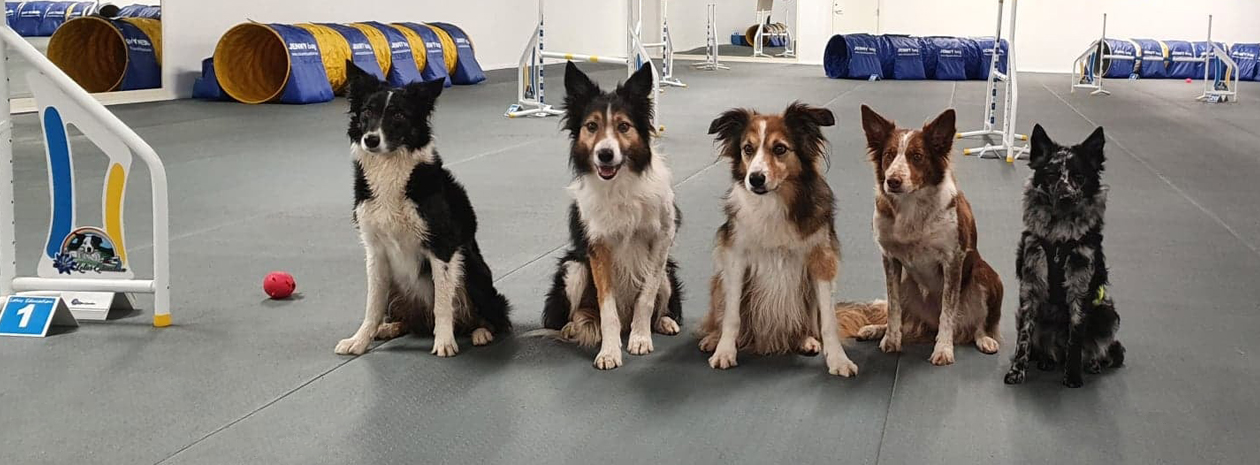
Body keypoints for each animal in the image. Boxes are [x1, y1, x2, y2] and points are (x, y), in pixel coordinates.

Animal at [337, 61, 514, 357]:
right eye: (367, 112)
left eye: (398, 114)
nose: (370, 140)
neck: (389, 169)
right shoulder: (375, 251)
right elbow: (372, 304)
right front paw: (359, 340)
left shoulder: (442, 246)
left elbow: (442, 302)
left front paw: (444, 342)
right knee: (406, 320)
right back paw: (389, 328)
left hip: (472, 269)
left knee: (490, 317)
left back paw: (481, 332)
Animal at [695, 102, 861, 378]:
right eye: (747, 149)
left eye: (780, 148)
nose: (755, 179)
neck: (773, 201)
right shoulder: (735, 258)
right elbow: (731, 316)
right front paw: (724, 352)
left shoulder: (822, 260)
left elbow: (828, 322)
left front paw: (839, 361)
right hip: (718, 282)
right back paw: (712, 339)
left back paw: (806, 339)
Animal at [841, 105, 1008, 365]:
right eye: (889, 155)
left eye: (917, 156)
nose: (892, 181)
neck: (912, 206)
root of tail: (927, 325)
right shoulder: (890, 259)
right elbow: (893, 307)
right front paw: (890, 340)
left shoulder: (952, 261)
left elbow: (948, 312)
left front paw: (943, 350)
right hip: (906, 282)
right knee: (905, 319)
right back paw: (875, 329)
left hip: (986, 275)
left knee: (977, 326)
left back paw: (984, 340)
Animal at [1002, 124, 1123, 388]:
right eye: (1052, 175)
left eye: (1079, 176)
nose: (1066, 197)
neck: (1059, 239)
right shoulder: (1030, 287)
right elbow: (1024, 338)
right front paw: (1017, 371)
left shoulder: (1080, 288)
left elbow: (1075, 338)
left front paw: (1073, 376)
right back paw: (1046, 360)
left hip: (1106, 313)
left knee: (1097, 348)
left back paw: (1092, 364)